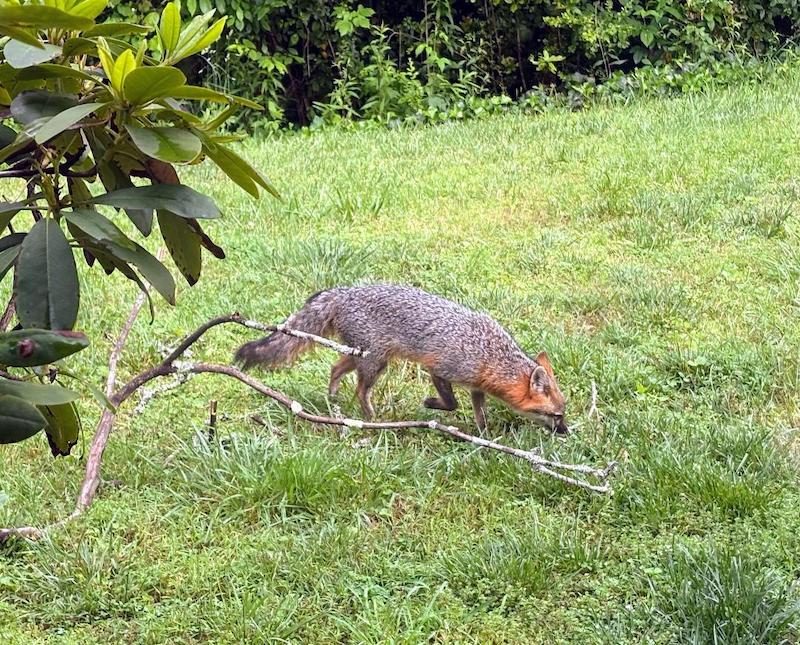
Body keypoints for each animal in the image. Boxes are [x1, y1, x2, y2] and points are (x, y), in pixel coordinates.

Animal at [234, 284, 569, 434]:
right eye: (557, 416)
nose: (566, 432)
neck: (490, 354)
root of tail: (344, 292)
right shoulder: (439, 368)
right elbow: (451, 403)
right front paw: (430, 404)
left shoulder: (476, 386)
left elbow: (480, 414)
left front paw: (485, 437)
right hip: (375, 362)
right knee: (361, 390)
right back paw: (370, 418)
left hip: (364, 356)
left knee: (335, 367)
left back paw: (333, 398)